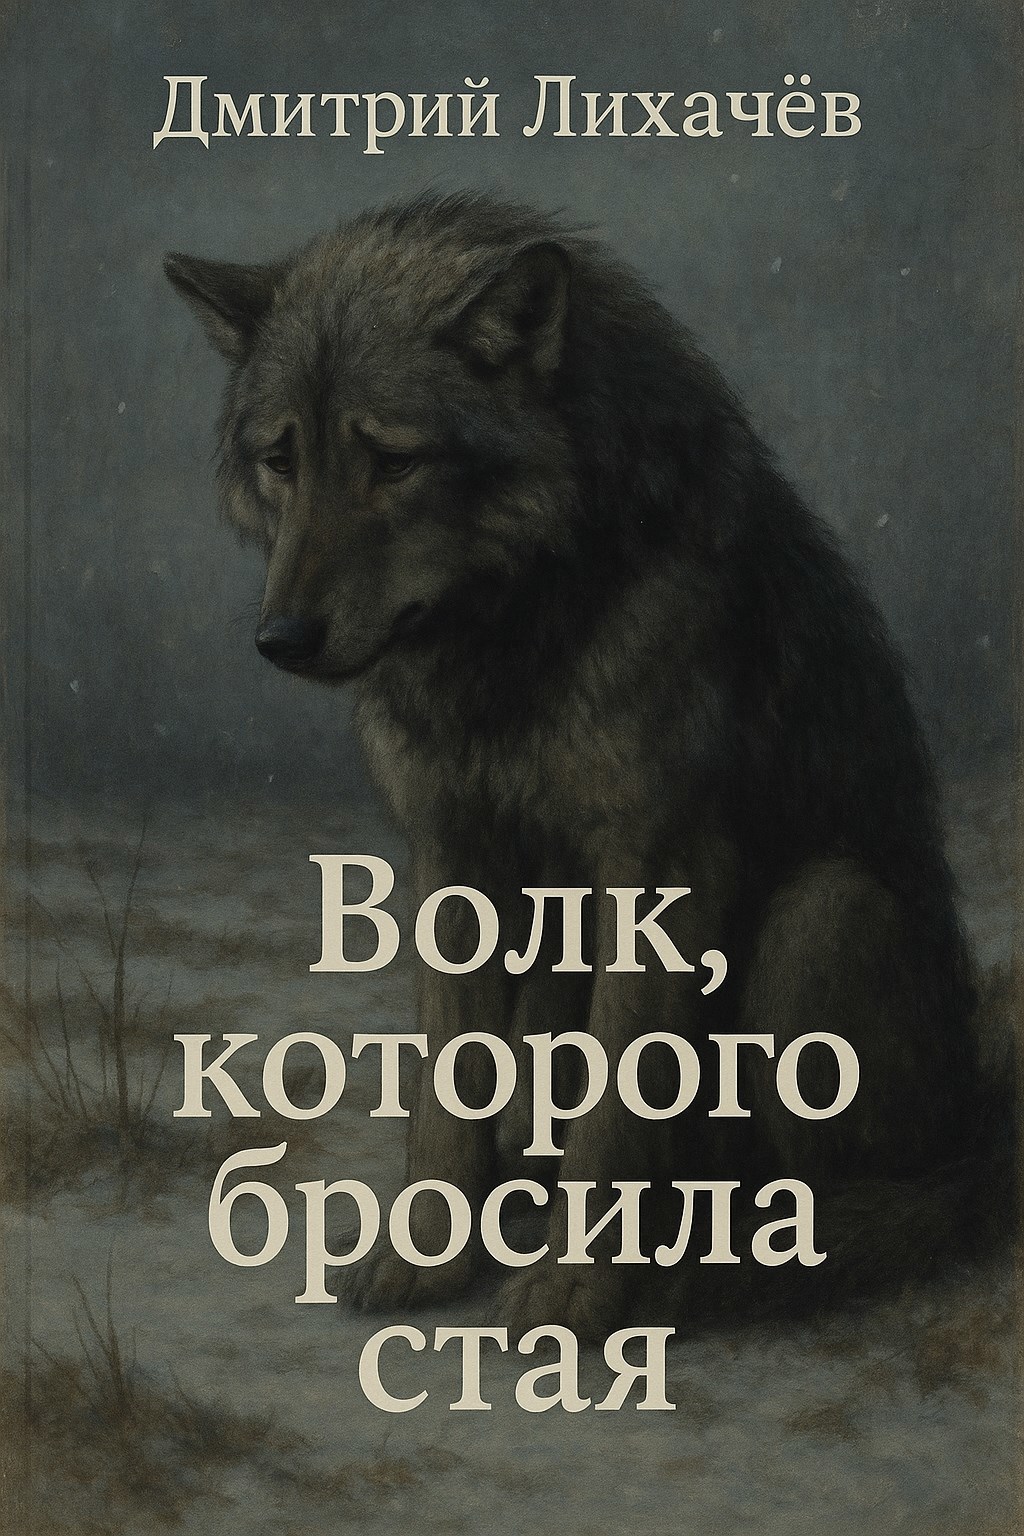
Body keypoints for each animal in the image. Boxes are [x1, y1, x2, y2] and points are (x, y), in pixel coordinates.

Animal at [166, 192, 999, 1340]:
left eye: (393, 461)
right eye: (282, 460)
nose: (280, 639)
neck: (512, 634)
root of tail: (982, 1126)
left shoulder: (661, 870)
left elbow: (617, 1107)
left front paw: (575, 1290)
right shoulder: (456, 858)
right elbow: (450, 1092)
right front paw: (425, 1258)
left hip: (825, 913)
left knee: (849, 1194)